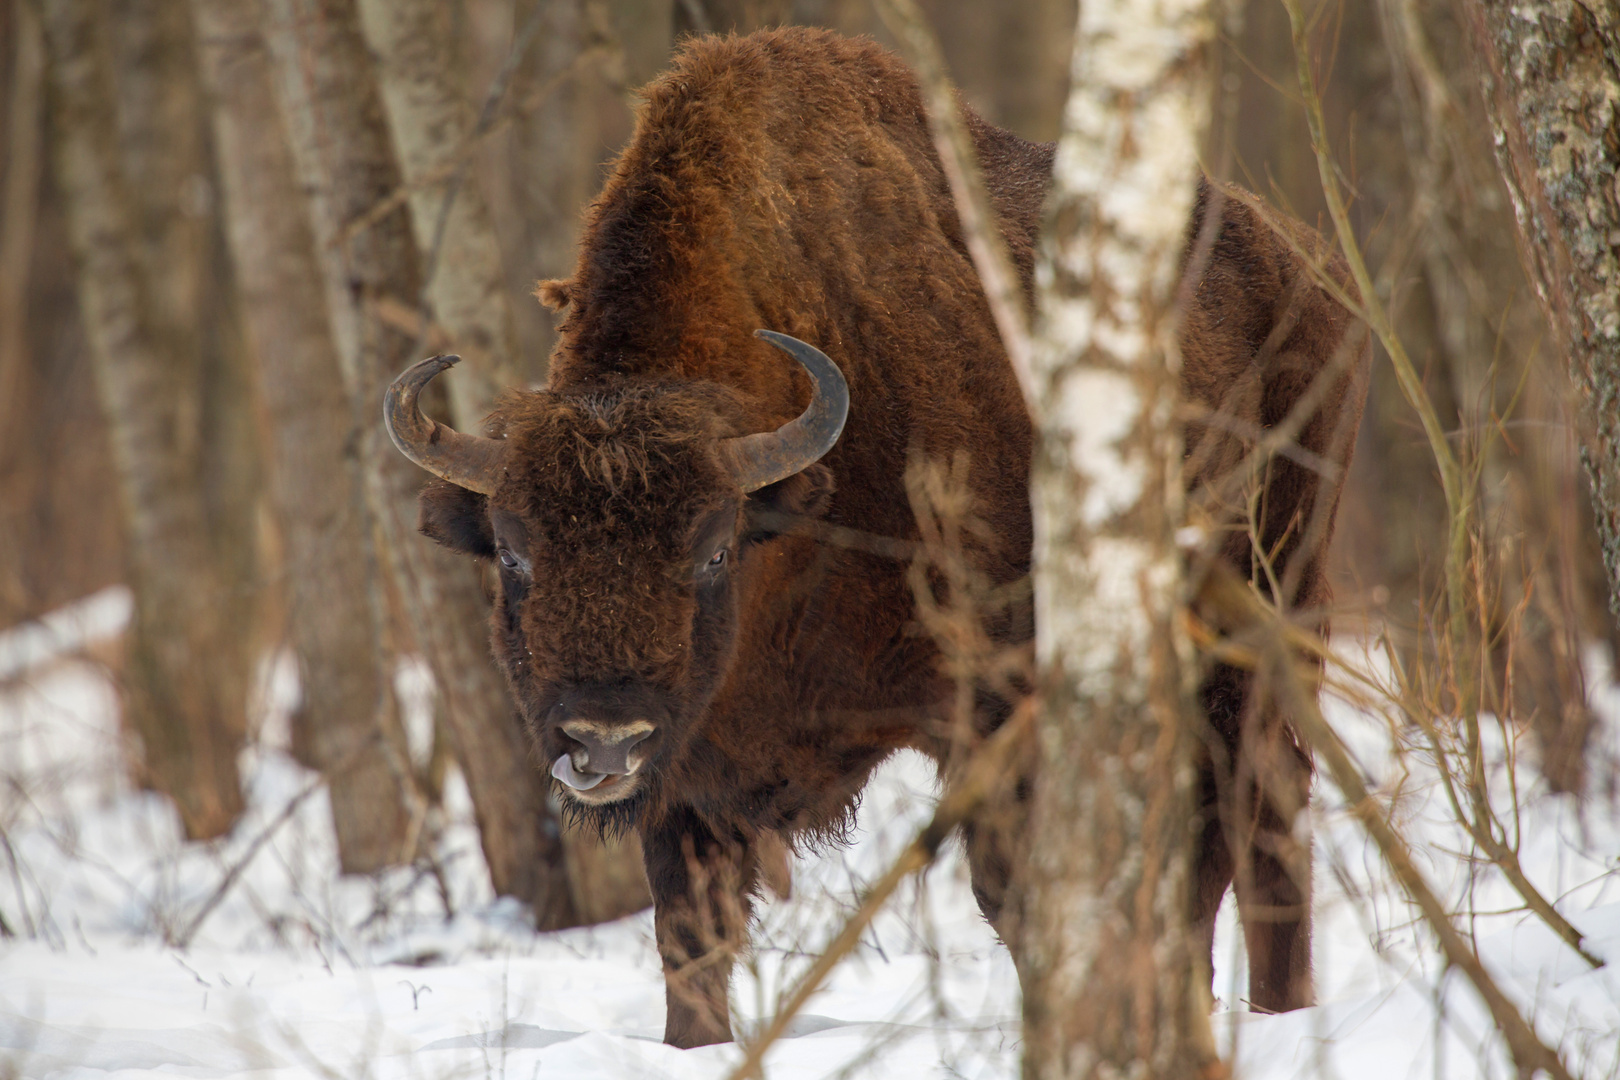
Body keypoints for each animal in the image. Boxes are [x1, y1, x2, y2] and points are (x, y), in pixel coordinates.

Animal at [382, 29, 1367, 1049]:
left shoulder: (996, 709)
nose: (602, 741)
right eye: (514, 554)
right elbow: (690, 936)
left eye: (712, 551)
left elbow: (1017, 896)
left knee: (1254, 820)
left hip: (1267, 622)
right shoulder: (691, 769)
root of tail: (1311, 269)